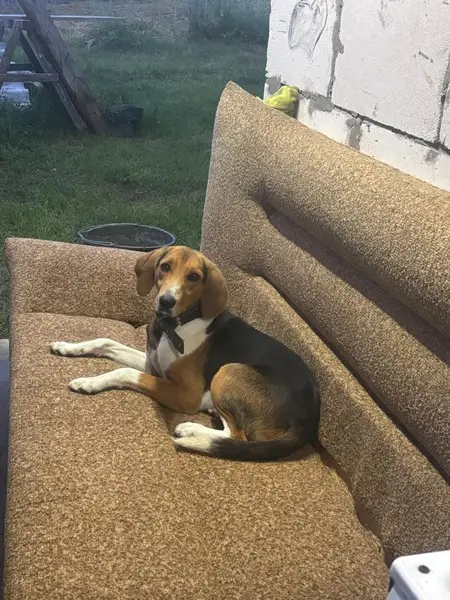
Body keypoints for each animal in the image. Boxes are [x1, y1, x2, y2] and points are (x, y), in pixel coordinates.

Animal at [51, 246, 320, 461]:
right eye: (165, 267)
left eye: (194, 277)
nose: (166, 301)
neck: (173, 326)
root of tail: (309, 418)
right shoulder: (152, 364)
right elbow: (106, 342)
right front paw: (67, 346)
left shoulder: (185, 393)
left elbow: (124, 371)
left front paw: (89, 382)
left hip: (228, 371)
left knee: (237, 435)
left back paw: (191, 430)